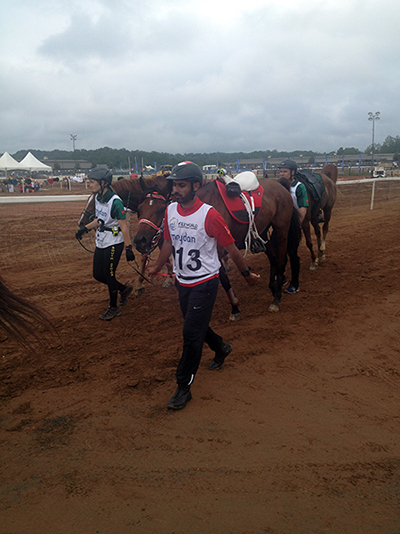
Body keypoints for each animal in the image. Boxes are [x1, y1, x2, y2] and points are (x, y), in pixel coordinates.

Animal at [134, 180, 300, 314]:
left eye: (161, 209)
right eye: (139, 209)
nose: (139, 241)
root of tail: (280, 186)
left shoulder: (219, 251)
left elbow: (224, 279)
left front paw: (234, 308)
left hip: (281, 230)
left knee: (281, 259)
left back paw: (276, 298)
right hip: (263, 232)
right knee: (273, 258)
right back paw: (273, 288)